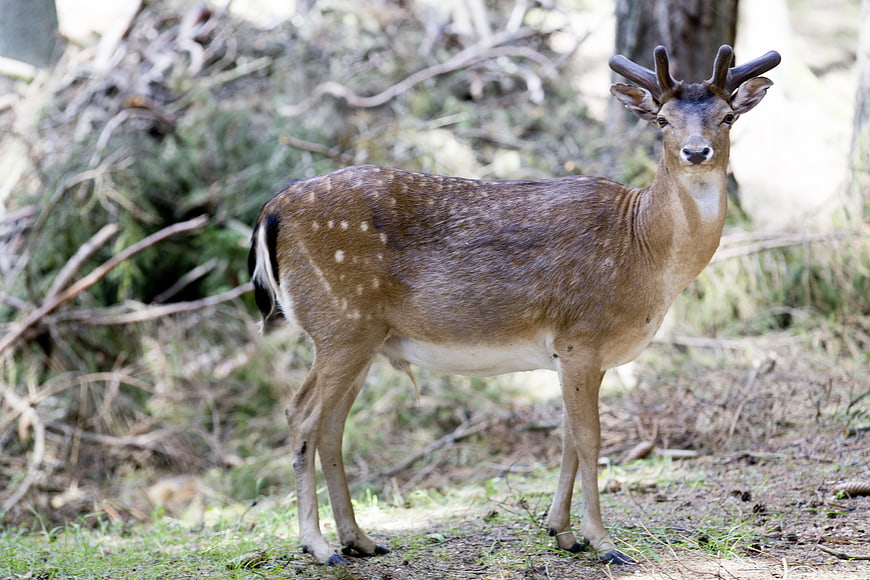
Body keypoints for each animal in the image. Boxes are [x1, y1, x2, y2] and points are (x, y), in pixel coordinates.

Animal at [248, 44, 781, 566]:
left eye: (728, 116)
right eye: (663, 120)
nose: (696, 151)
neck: (643, 249)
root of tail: (269, 212)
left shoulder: (574, 354)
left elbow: (567, 438)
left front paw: (562, 532)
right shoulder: (581, 337)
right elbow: (590, 439)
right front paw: (603, 542)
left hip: (362, 336)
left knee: (332, 425)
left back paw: (358, 540)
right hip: (341, 322)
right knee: (302, 415)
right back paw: (318, 547)